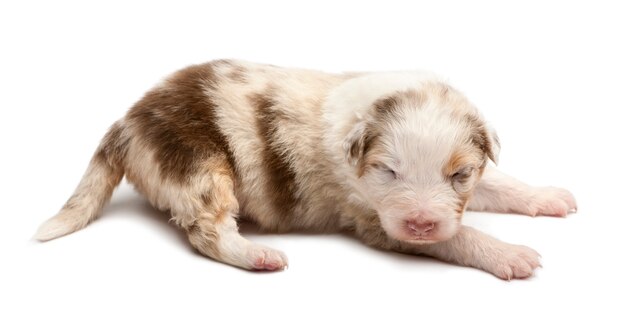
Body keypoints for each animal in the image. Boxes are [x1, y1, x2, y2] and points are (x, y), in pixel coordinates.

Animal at [36, 60, 576, 280]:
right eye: (389, 172)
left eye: (459, 176)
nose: (422, 221)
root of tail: (126, 122)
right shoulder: (374, 220)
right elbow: (459, 236)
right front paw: (510, 254)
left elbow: (500, 184)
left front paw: (547, 196)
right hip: (197, 163)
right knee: (208, 231)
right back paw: (258, 255)